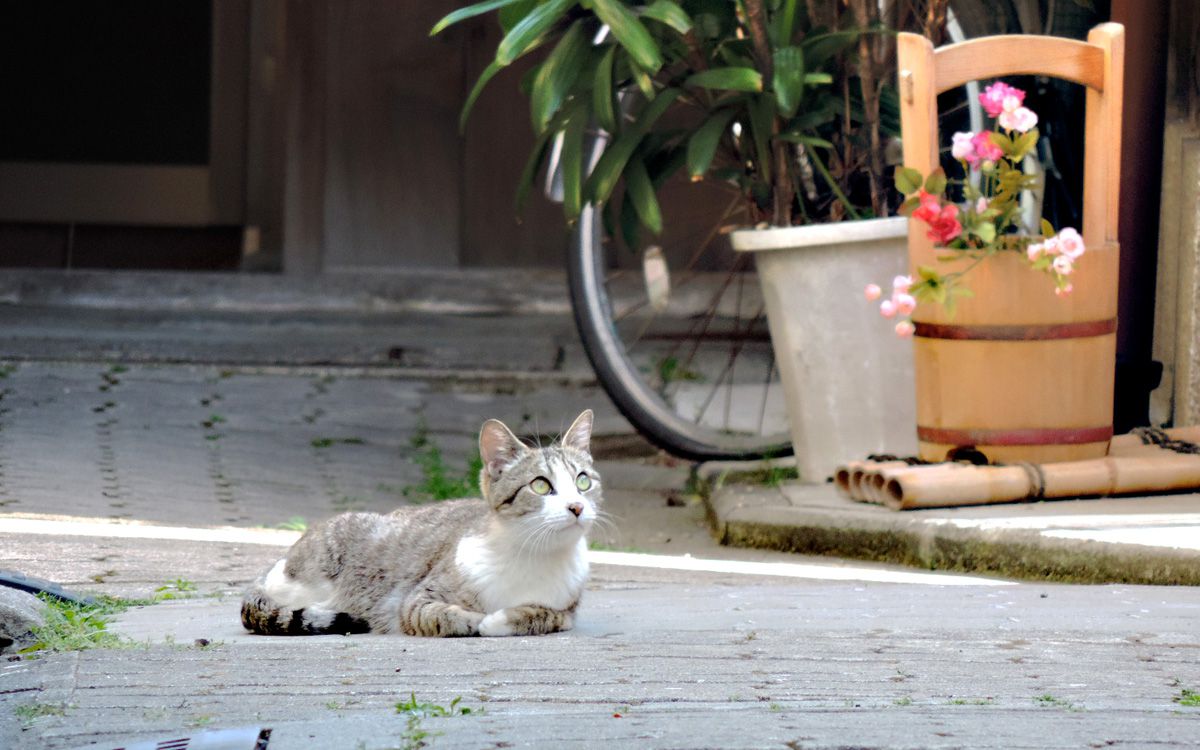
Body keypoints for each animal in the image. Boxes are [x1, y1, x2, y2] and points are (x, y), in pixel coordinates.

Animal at [241, 410, 600, 638]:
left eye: (583, 481)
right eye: (540, 485)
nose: (577, 506)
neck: (533, 554)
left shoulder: (566, 613)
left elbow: (539, 614)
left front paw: (500, 619)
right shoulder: (415, 600)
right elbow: (440, 616)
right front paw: (475, 619)